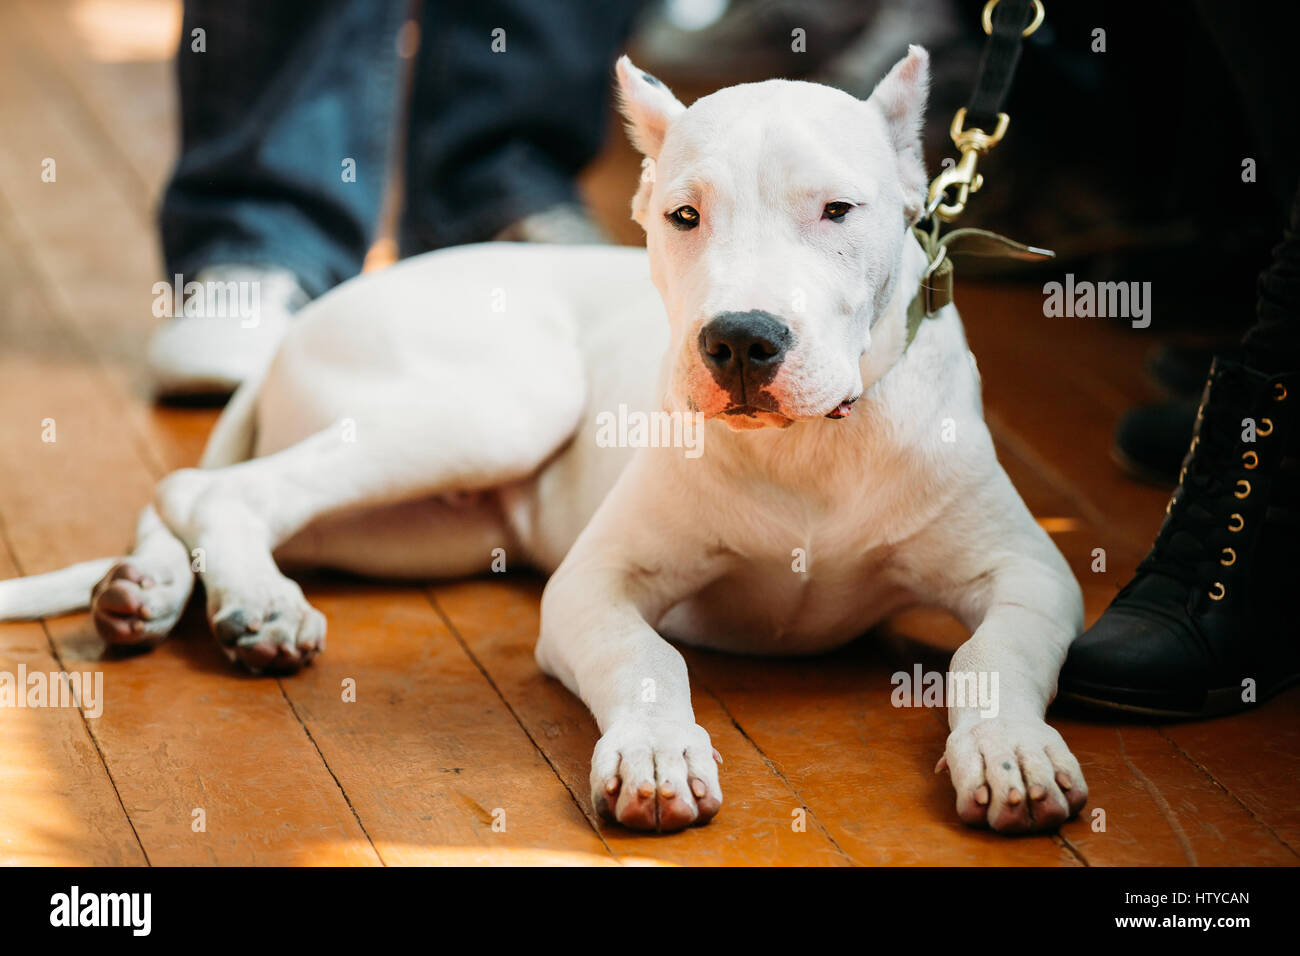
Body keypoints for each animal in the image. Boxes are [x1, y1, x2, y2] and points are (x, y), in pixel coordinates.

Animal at [0, 48, 1086, 832]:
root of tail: (301, 324)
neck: (809, 448)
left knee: (193, 493)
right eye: (683, 215)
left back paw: (148, 592)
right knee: (212, 487)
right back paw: (251, 603)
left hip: (419, 524)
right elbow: (649, 659)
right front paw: (656, 750)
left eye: (838, 211)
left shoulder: (1031, 574)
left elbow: (990, 653)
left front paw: (1011, 748)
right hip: (499, 405)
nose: (741, 341)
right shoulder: (594, 587)